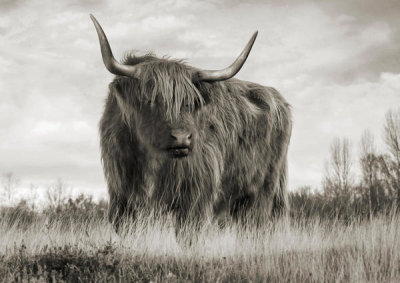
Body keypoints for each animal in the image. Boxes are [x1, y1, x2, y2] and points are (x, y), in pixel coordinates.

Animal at [90, 14, 290, 234]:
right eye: (150, 99)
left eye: (192, 103)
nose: (181, 138)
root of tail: (276, 97)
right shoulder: (122, 197)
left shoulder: (195, 196)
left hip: (263, 191)